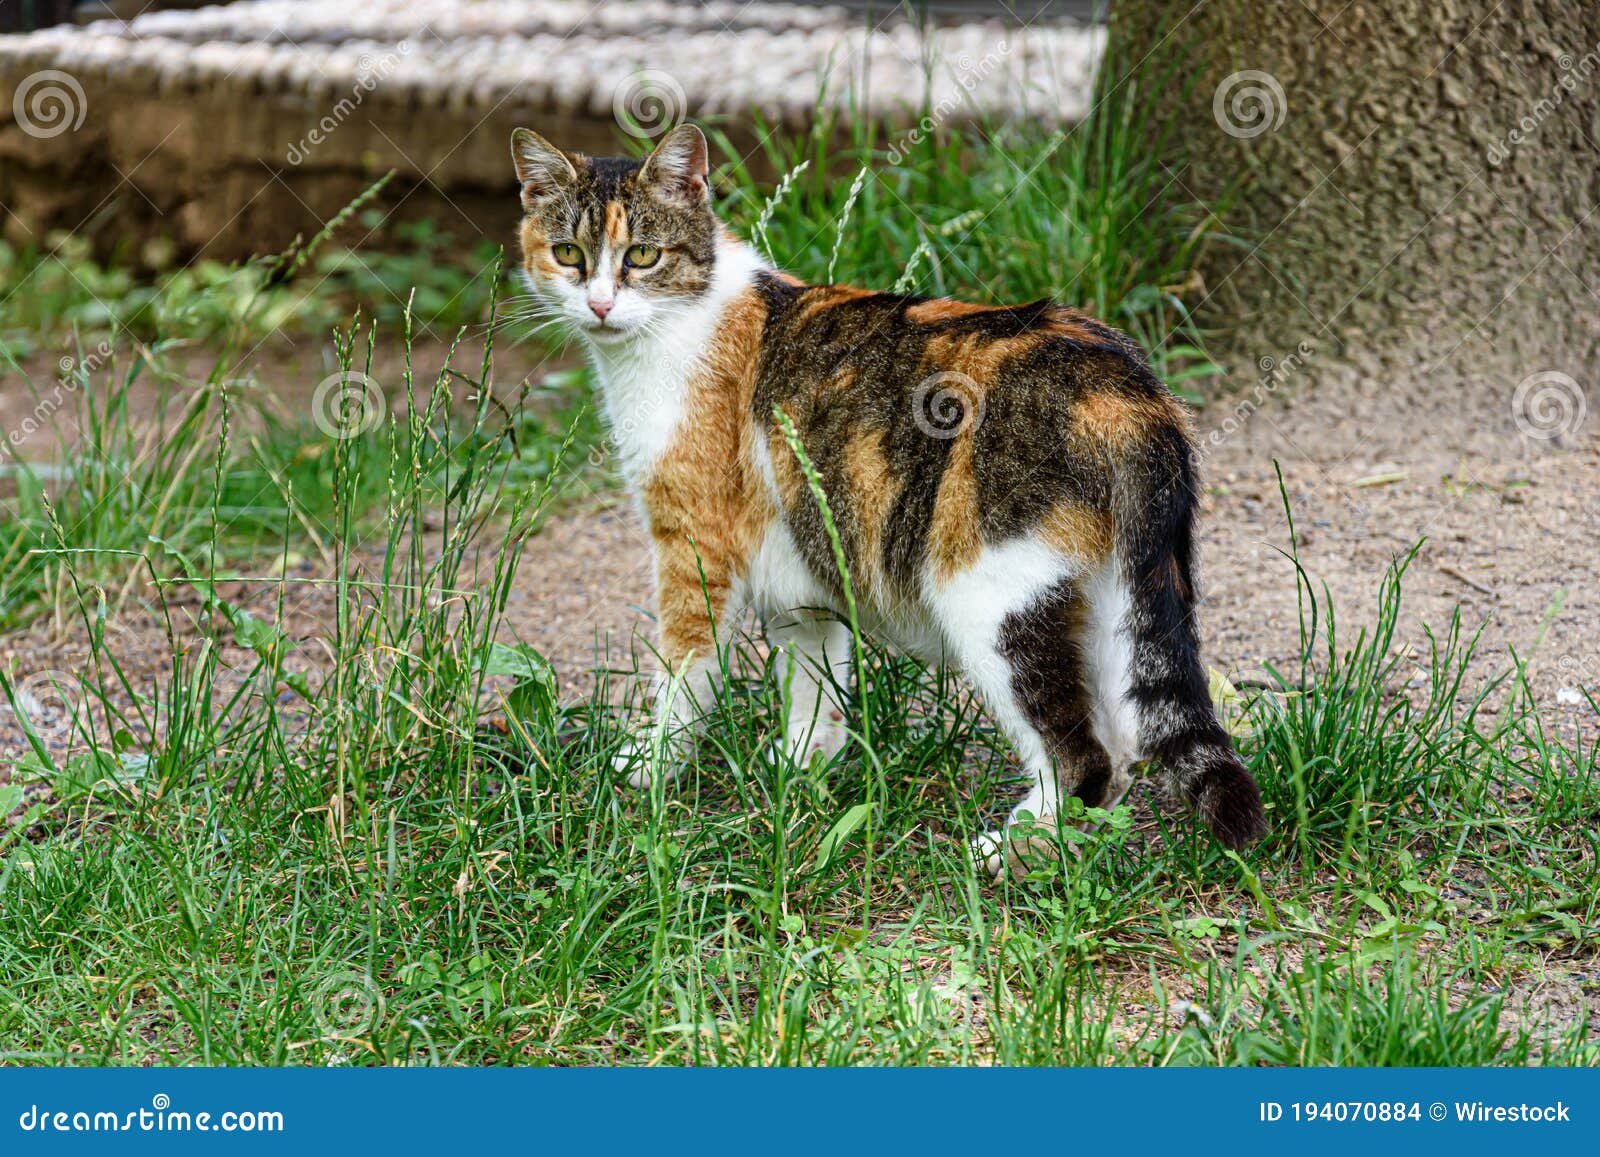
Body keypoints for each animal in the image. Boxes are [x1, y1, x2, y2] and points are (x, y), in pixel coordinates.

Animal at [508, 122, 1260, 876]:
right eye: (569, 254)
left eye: (642, 254)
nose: (600, 304)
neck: (679, 325)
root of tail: (1125, 385)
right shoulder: (800, 560)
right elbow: (812, 673)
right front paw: (800, 767)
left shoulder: (695, 546)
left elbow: (683, 670)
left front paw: (645, 765)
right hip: (1107, 589)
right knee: (1127, 740)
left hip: (988, 593)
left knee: (1088, 756)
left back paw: (1016, 850)